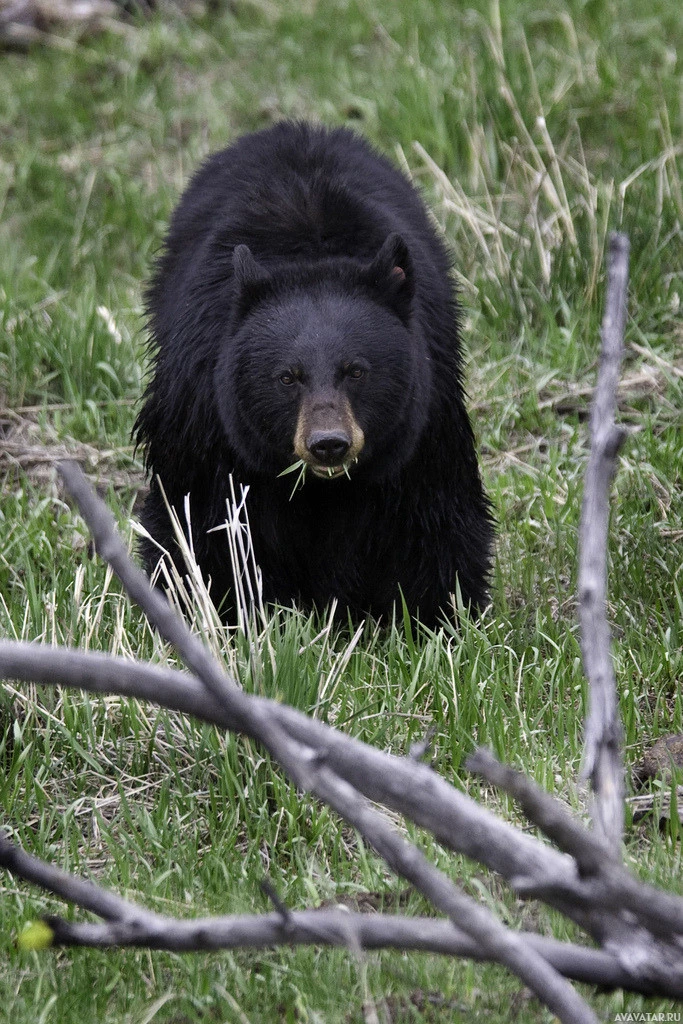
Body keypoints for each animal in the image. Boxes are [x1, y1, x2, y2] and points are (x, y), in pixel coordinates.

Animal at [136, 123, 493, 626]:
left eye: (356, 371)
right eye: (287, 377)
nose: (328, 443)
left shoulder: (424, 413)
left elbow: (432, 515)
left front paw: (437, 616)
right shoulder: (205, 414)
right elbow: (202, 517)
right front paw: (212, 609)